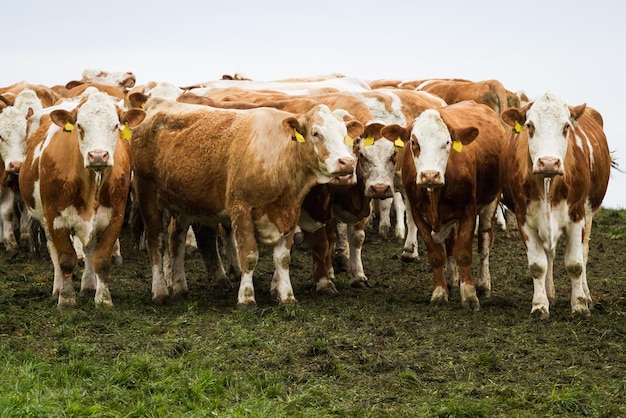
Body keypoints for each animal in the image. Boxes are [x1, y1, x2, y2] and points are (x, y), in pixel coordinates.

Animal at [19, 92, 145, 306]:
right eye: (79, 126)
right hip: (45, 219)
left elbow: (101, 260)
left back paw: (88, 285)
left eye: (115, 125)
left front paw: (103, 299)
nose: (98, 156)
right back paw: (58, 288)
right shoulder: (55, 218)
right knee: (54, 251)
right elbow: (65, 259)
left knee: (89, 250)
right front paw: (66, 298)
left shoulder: (115, 218)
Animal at [130, 98, 360, 306]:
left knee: (175, 240)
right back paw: (160, 291)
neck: (277, 156)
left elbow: (283, 258)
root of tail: (156, 106)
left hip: (184, 204)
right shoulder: (241, 210)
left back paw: (180, 287)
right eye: (315, 133)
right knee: (156, 242)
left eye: (345, 135)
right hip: (147, 195)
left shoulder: (290, 212)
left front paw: (286, 296)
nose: (347, 163)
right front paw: (246, 298)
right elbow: (249, 255)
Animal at [380, 100, 508, 310]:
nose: (430, 175)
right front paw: (440, 292)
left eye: (447, 142)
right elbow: (436, 255)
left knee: (484, 242)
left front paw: (470, 295)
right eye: (414, 143)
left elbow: (464, 253)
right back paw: (451, 279)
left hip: (491, 202)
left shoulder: (468, 212)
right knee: (451, 243)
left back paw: (483, 284)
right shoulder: (418, 215)